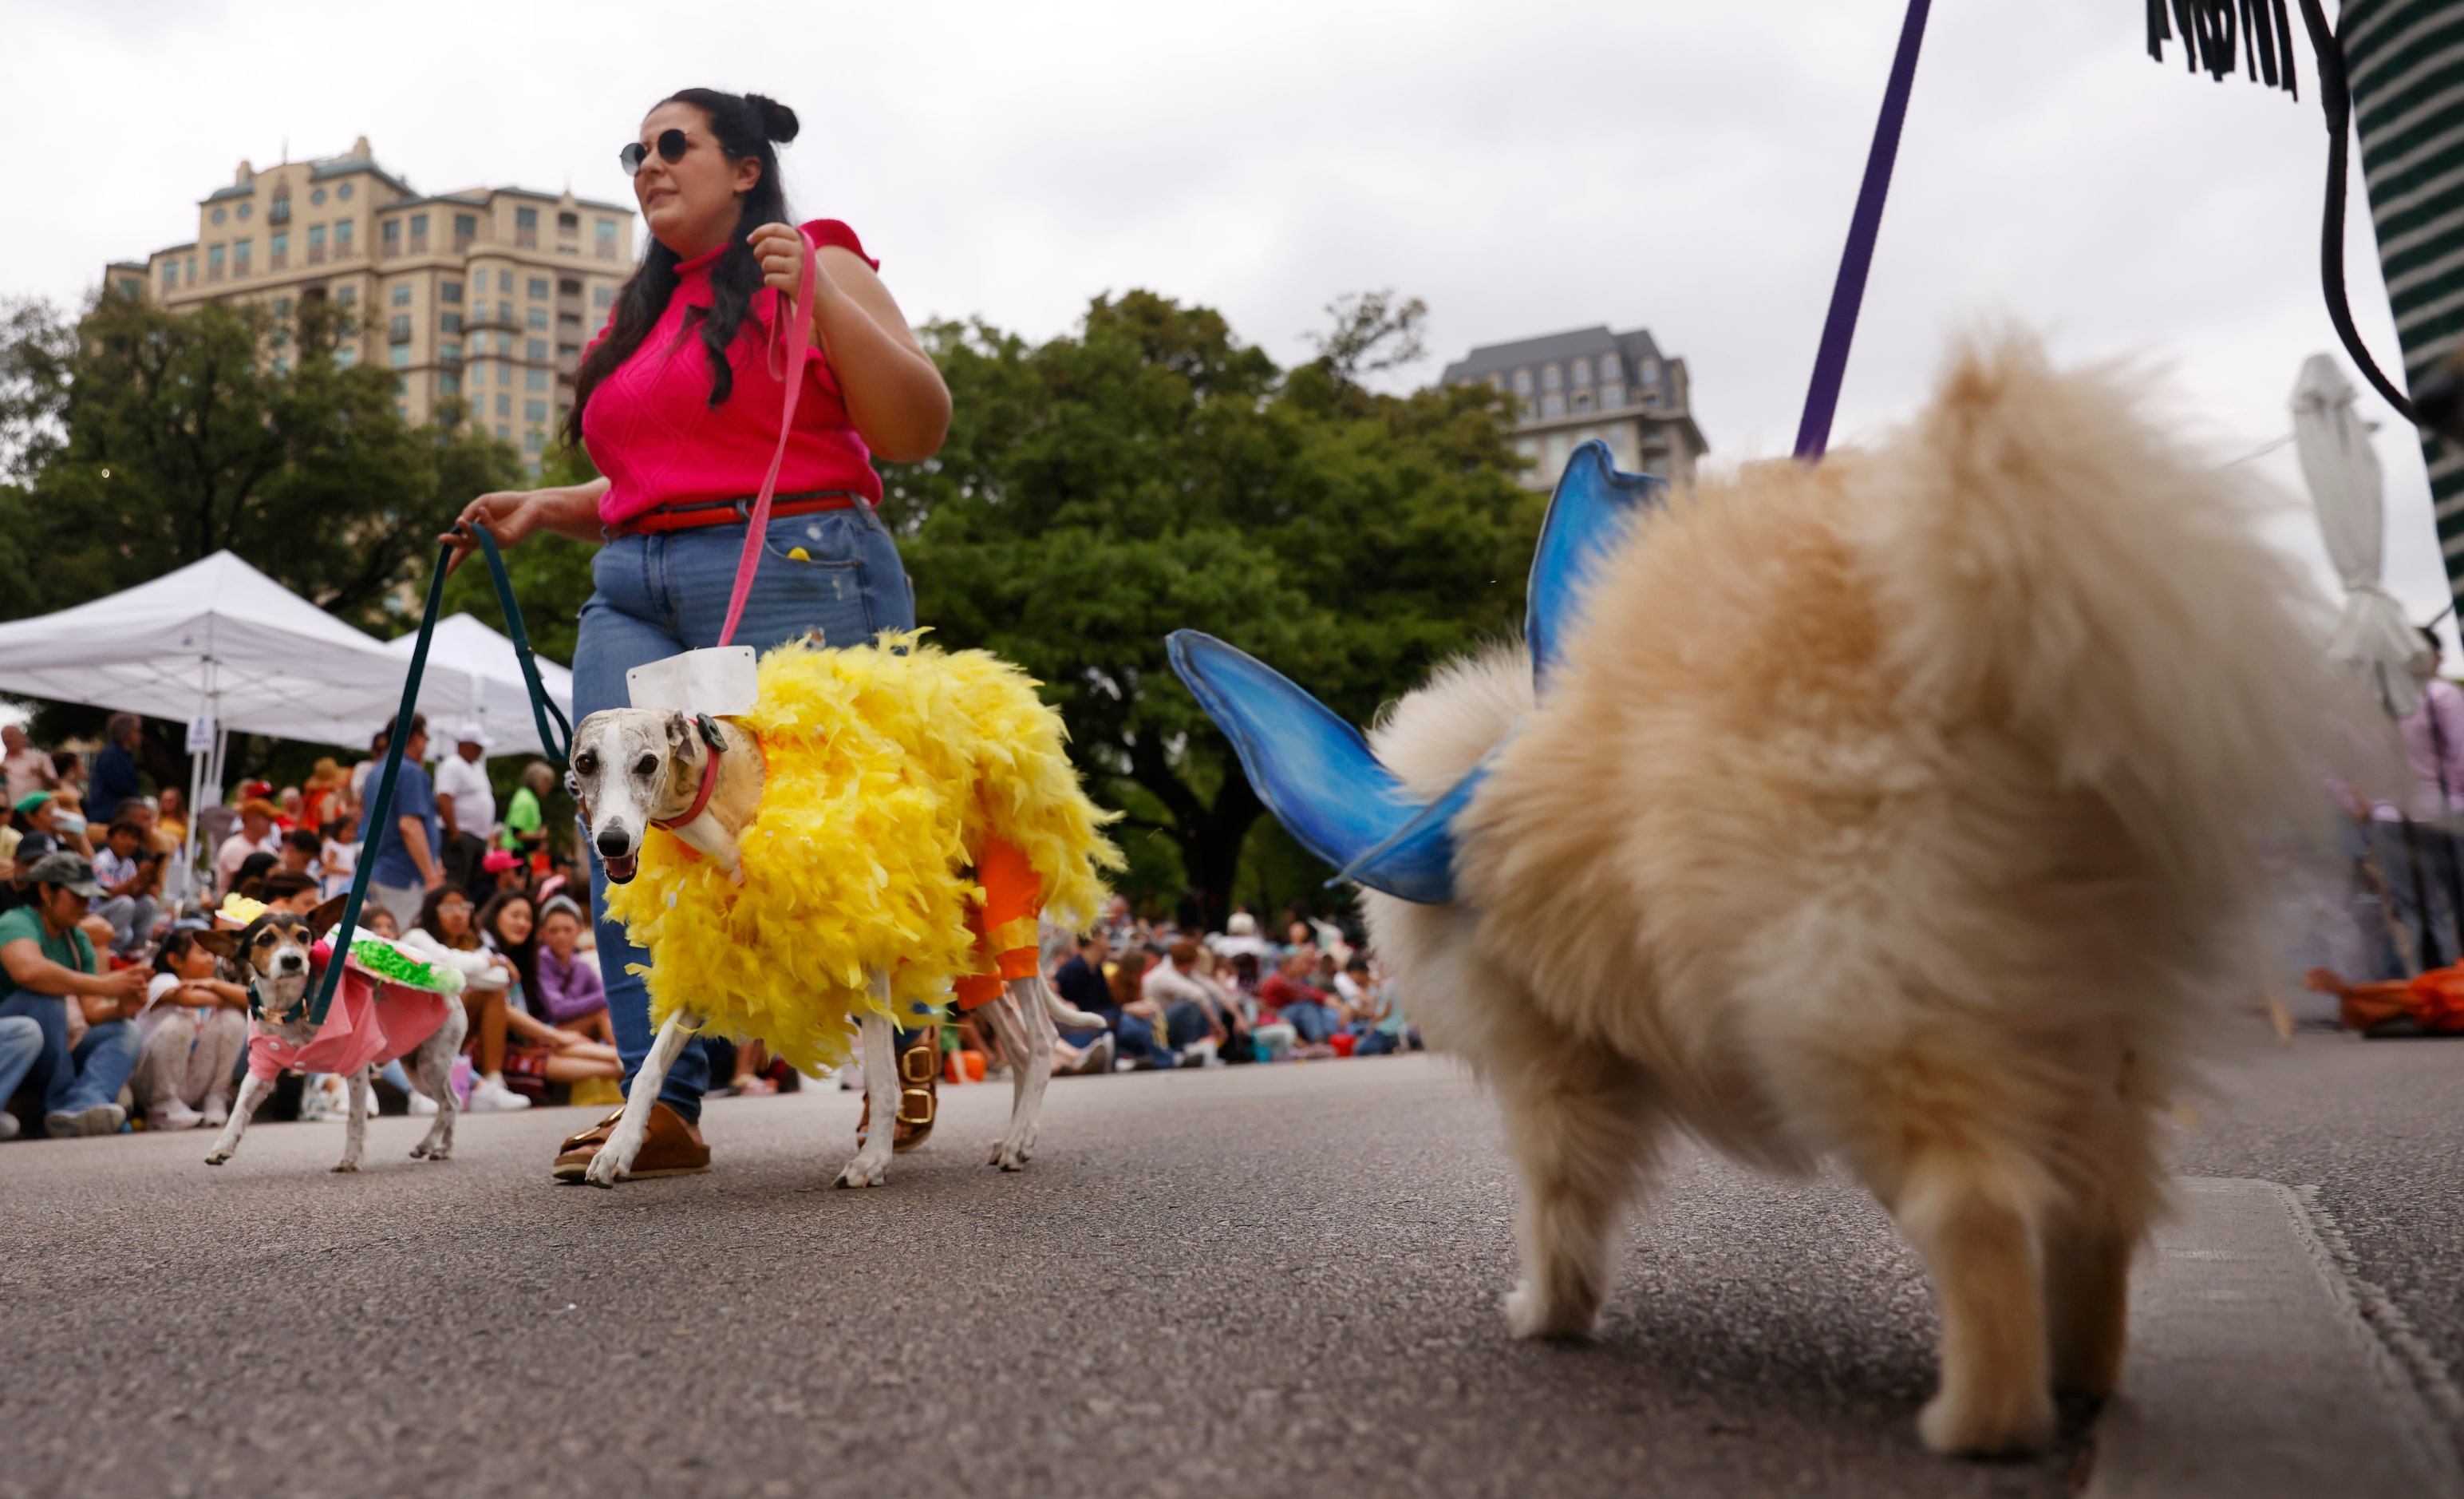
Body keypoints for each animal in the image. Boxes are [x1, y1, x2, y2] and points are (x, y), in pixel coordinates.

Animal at [198, 897, 465, 1178]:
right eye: (265, 939)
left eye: (304, 936)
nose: (292, 960)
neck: (293, 1008)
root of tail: (453, 990)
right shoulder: (260, 1070)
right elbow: (239, 1111)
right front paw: (221, 1147)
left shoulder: (357, 1069)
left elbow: (355, 1120)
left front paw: (351, 1160)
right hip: (417, 1071)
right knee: (451, 1102)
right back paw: (438, 1147)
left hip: (430, 1065)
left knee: (450, 1104)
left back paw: (434, 1146)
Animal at [567, 710, 1108, 1188]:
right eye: (585, 763)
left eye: (648, 762)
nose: (612, 841)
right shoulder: (712, 961)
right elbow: (650, 1069)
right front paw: (618, 1150)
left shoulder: (868, 954)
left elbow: (885, 1077)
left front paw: (873, 1161)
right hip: (965, 947)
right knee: (1017, 1045)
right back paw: (1016, 1136)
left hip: (1003, 914)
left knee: (1041, 1036)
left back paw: (1019, 1136)